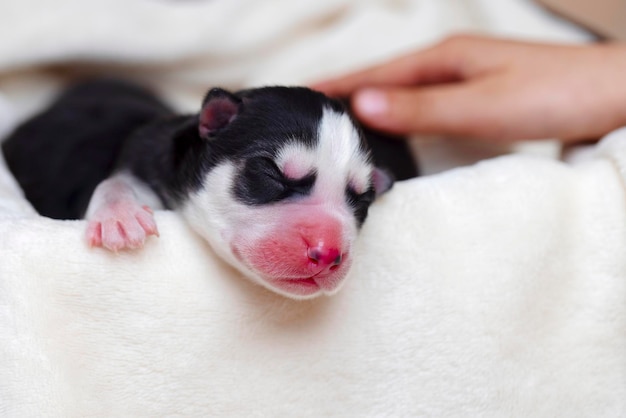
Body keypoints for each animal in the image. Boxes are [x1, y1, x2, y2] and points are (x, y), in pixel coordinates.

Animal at [3, 80, 420, 298]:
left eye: (362, 199)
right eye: (272, 173)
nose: (329, 252)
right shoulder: (142, 152)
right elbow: (117, 180)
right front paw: (120, 216)